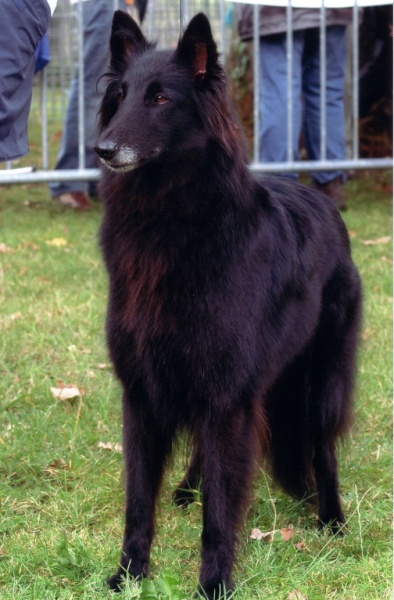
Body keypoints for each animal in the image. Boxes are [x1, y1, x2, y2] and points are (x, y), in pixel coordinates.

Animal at [94, 10, 362, 600]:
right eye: (119, 97)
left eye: (160, 99)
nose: (102, 148)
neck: (168, 224)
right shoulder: (145, 392)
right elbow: (138, 499)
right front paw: (130, 573)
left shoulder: (227, 396)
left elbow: (220, 509)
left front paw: (214, 582)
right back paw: (186, 489)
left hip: (319, 380)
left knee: (323, 448)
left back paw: (332, 518)